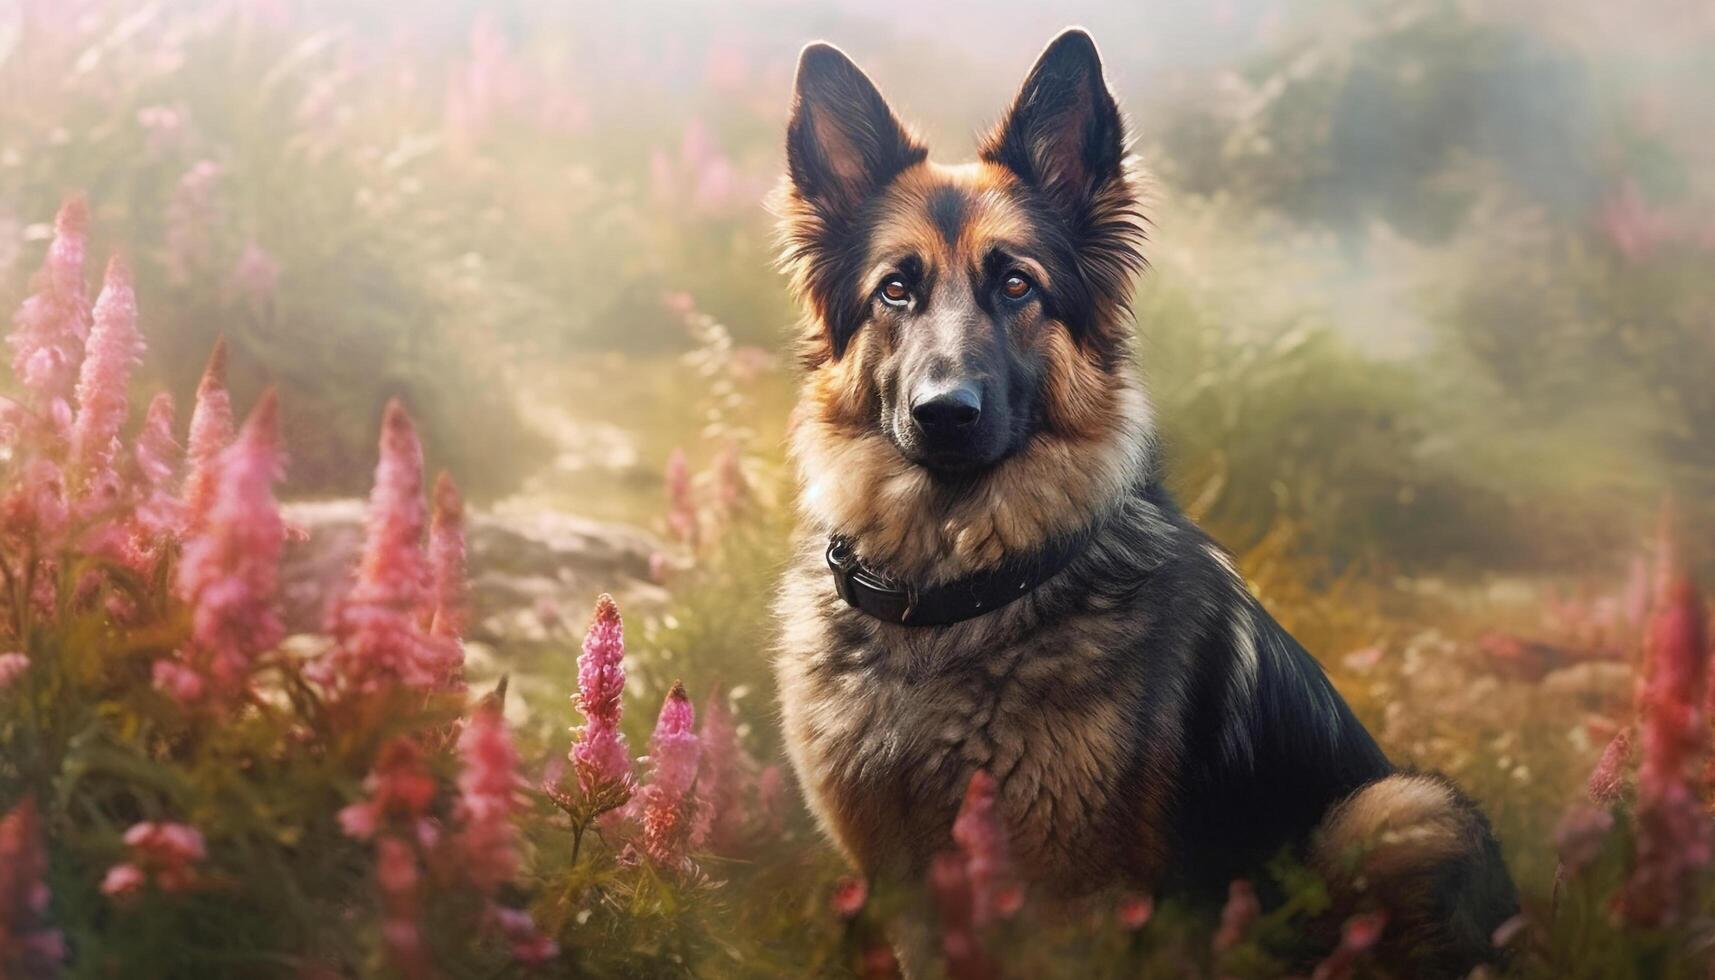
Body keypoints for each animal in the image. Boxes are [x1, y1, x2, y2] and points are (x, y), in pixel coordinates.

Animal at [775, 30, 1516, 974]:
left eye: (1016, 286)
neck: (950, 599)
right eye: (894, 290)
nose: (944, 414)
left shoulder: (1070, 907)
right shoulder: (912, 897)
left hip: (1405, 811)